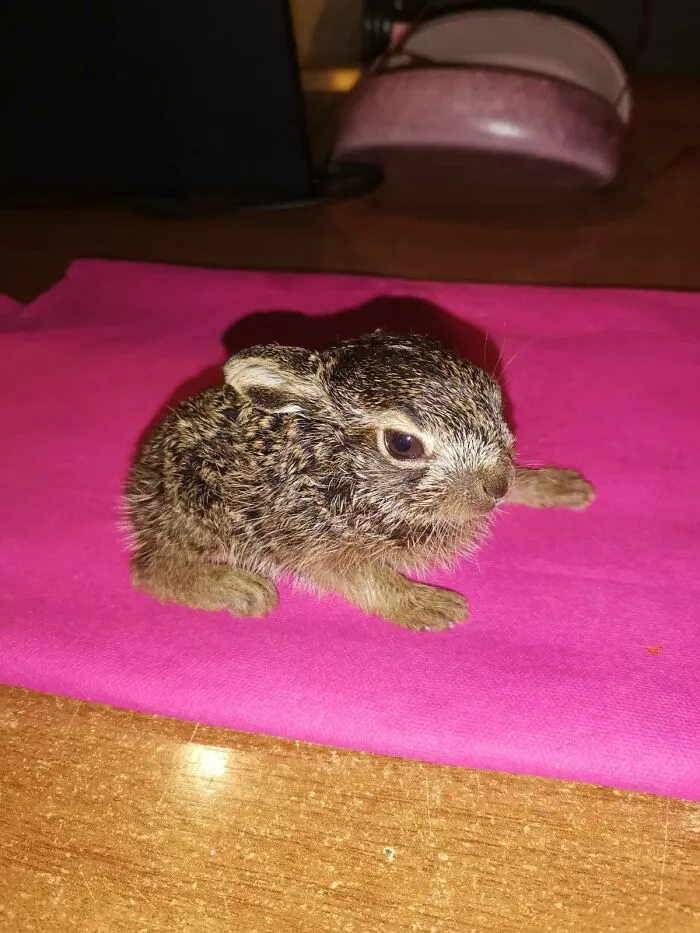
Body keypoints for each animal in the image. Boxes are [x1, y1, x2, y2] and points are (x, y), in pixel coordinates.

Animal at [124, 331, 594, 631]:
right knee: (151, 569)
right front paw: (432, 606)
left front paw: (561, 486)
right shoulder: (312, 541)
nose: (495, 487)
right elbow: (367, 578)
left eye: (495, 400)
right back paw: (243, 589)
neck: (339, 464)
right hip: (198, 507)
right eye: (402, 444)